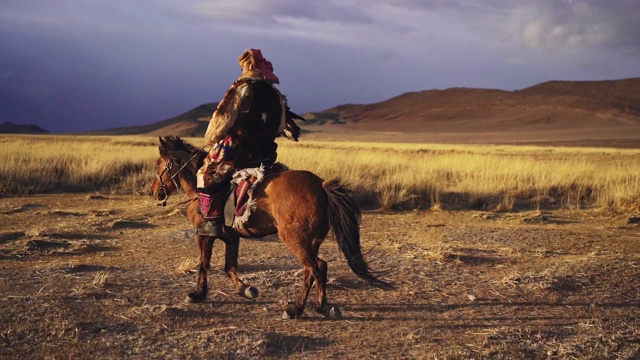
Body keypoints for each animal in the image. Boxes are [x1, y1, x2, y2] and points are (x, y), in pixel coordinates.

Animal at [150, 136, 390, 320]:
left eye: (159, 163)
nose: (154, 192)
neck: (200, 190)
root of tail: (321, 186)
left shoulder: (204, 235)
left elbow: (204, 265)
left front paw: (198, 294)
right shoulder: (231, 237)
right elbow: (229, 266)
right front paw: (246, 289)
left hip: (294, 239)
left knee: (315, 268)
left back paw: (299, 309)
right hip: (310, 241)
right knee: (315, 268)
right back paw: (315, 306)